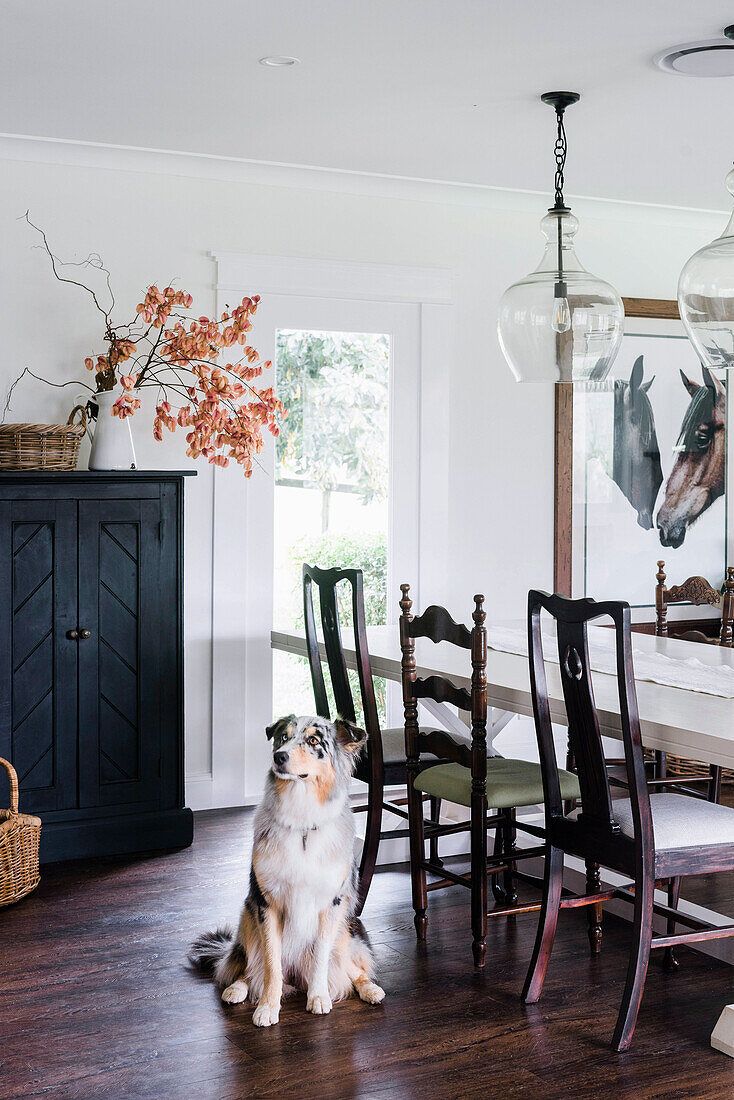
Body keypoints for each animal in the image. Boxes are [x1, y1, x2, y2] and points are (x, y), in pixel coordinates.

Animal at [188, 717, 385, 1025]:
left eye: (314, 741)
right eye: (282, 737)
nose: (278, 757)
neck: (301, 817)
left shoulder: (331, 904)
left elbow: (321, 958)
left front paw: (318, 997)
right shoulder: (267, 904)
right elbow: (271, 964)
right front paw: (268, 1007)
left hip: (343, 932)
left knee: (350, 968)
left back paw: (370, 989)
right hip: (247, 921)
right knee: (249, 968)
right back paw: (236, 988)